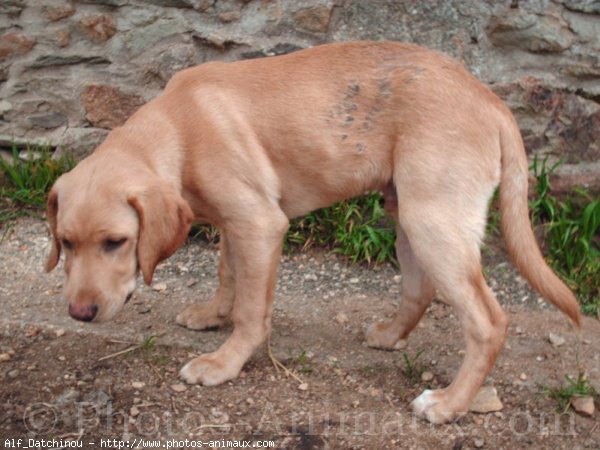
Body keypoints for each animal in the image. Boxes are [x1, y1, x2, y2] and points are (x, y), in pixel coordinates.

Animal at [44, 40, 580, 424]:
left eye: (116, 242)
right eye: (66, 243)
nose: (80, 314)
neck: (178, 130)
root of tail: (492, 101)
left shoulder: (260, 223)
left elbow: (251, 311)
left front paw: (224, 363)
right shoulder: (235, 223)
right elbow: (227, 275)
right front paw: (212, 315)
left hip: (433, 219)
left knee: (487, 321)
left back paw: (449, 405)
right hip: (408, 211)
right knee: (419, 288)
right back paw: (390, 336)